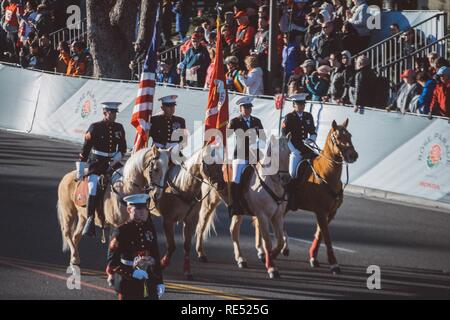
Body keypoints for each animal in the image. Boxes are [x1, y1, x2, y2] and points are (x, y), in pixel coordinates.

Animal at [150, 145, 224, 280]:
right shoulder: (168, 220)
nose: (221, 184)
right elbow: (172, 245)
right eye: (209, 163)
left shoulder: (190, 220)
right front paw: (163, 264)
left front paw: (187, 271)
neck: (183, 187)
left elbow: (187, 245)